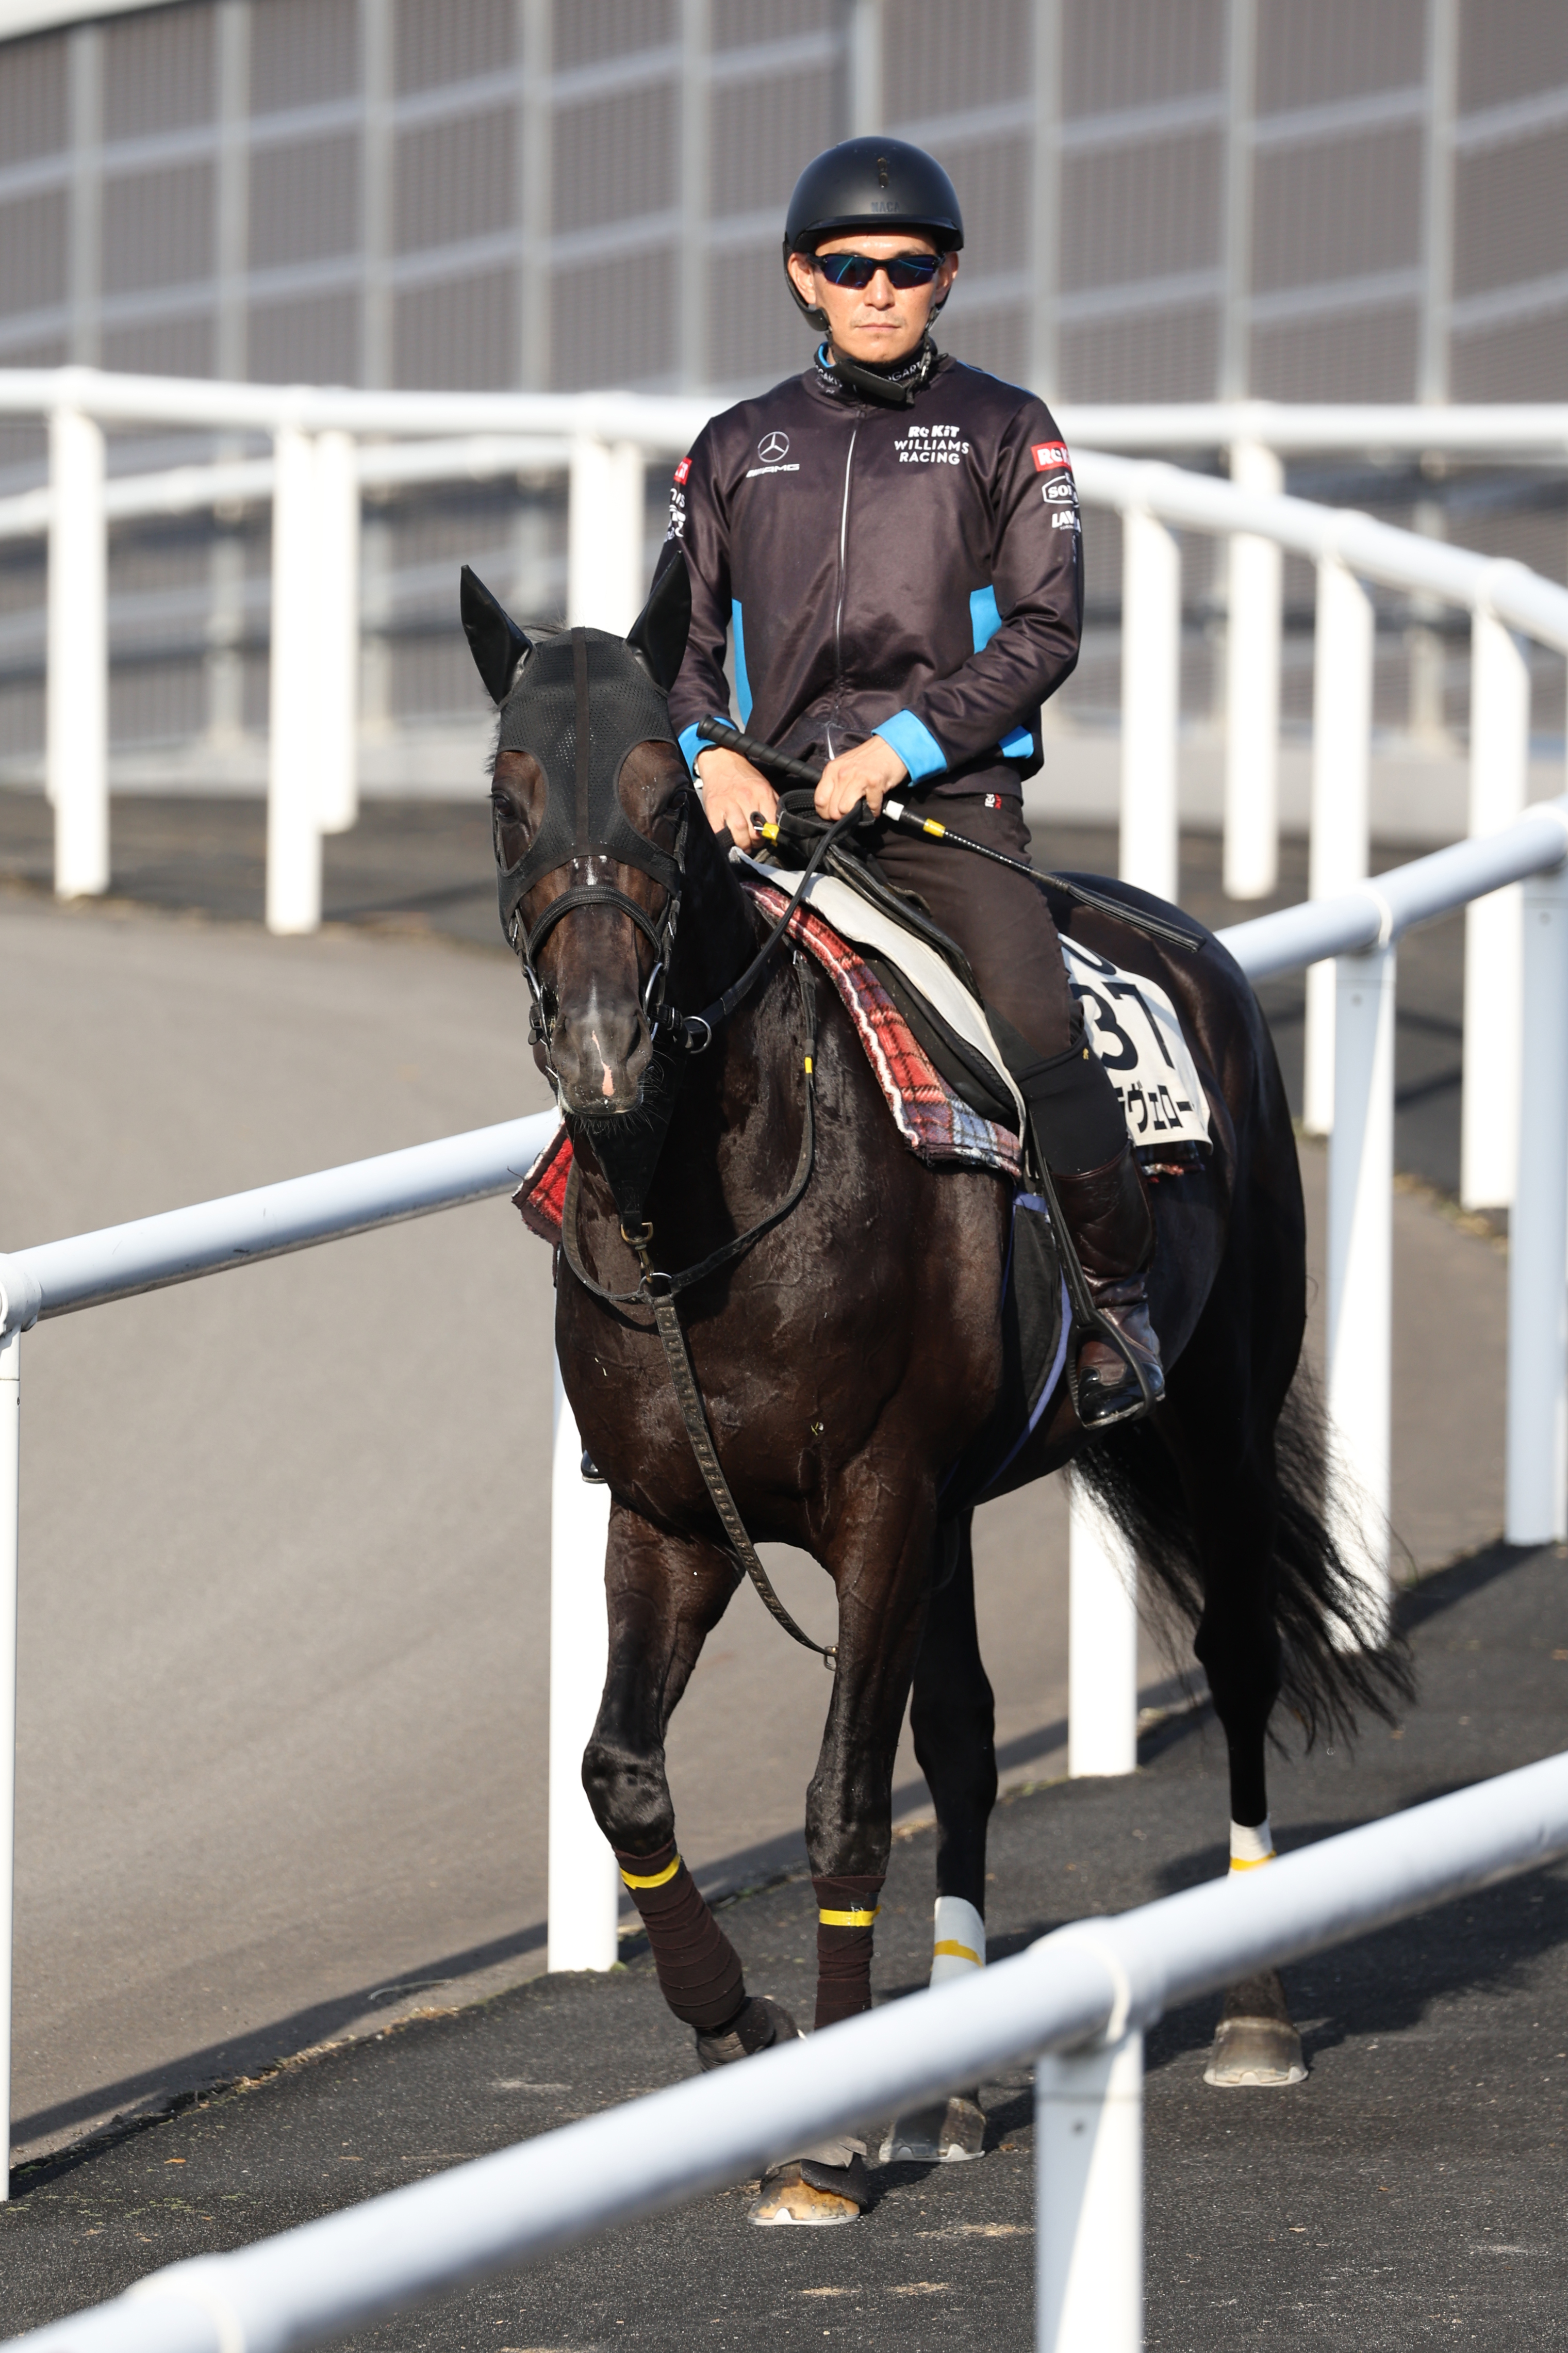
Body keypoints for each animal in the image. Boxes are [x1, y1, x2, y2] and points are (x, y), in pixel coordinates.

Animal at [462, 554, 1404, 2226]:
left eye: (663, 798)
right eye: (508, 799)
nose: (601, 1045)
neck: (713, 1208)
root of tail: (1187, 939)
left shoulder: (881, 1499)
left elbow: (845, 1793)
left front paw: (827, 2136)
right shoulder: (671, 1510)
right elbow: (621, 1773)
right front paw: (744, 2028)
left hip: (1215, 1414)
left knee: (1234, 1657)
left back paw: (1250, 2005)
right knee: (961, 1738)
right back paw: (955, 2084)